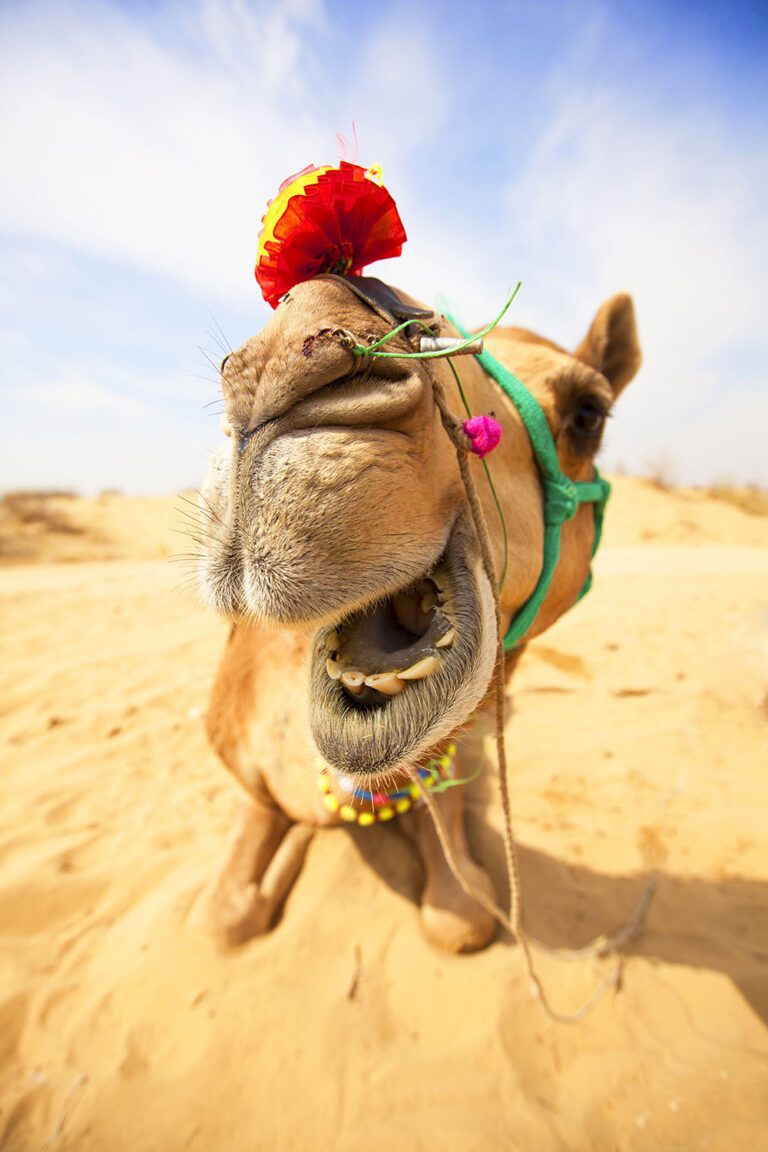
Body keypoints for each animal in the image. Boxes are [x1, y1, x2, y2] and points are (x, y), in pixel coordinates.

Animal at [194, 274, 641, 953]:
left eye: (589, 413)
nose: (275, 371)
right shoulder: (246, 769)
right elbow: (223, 918)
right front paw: (293, 846)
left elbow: (462, 916)